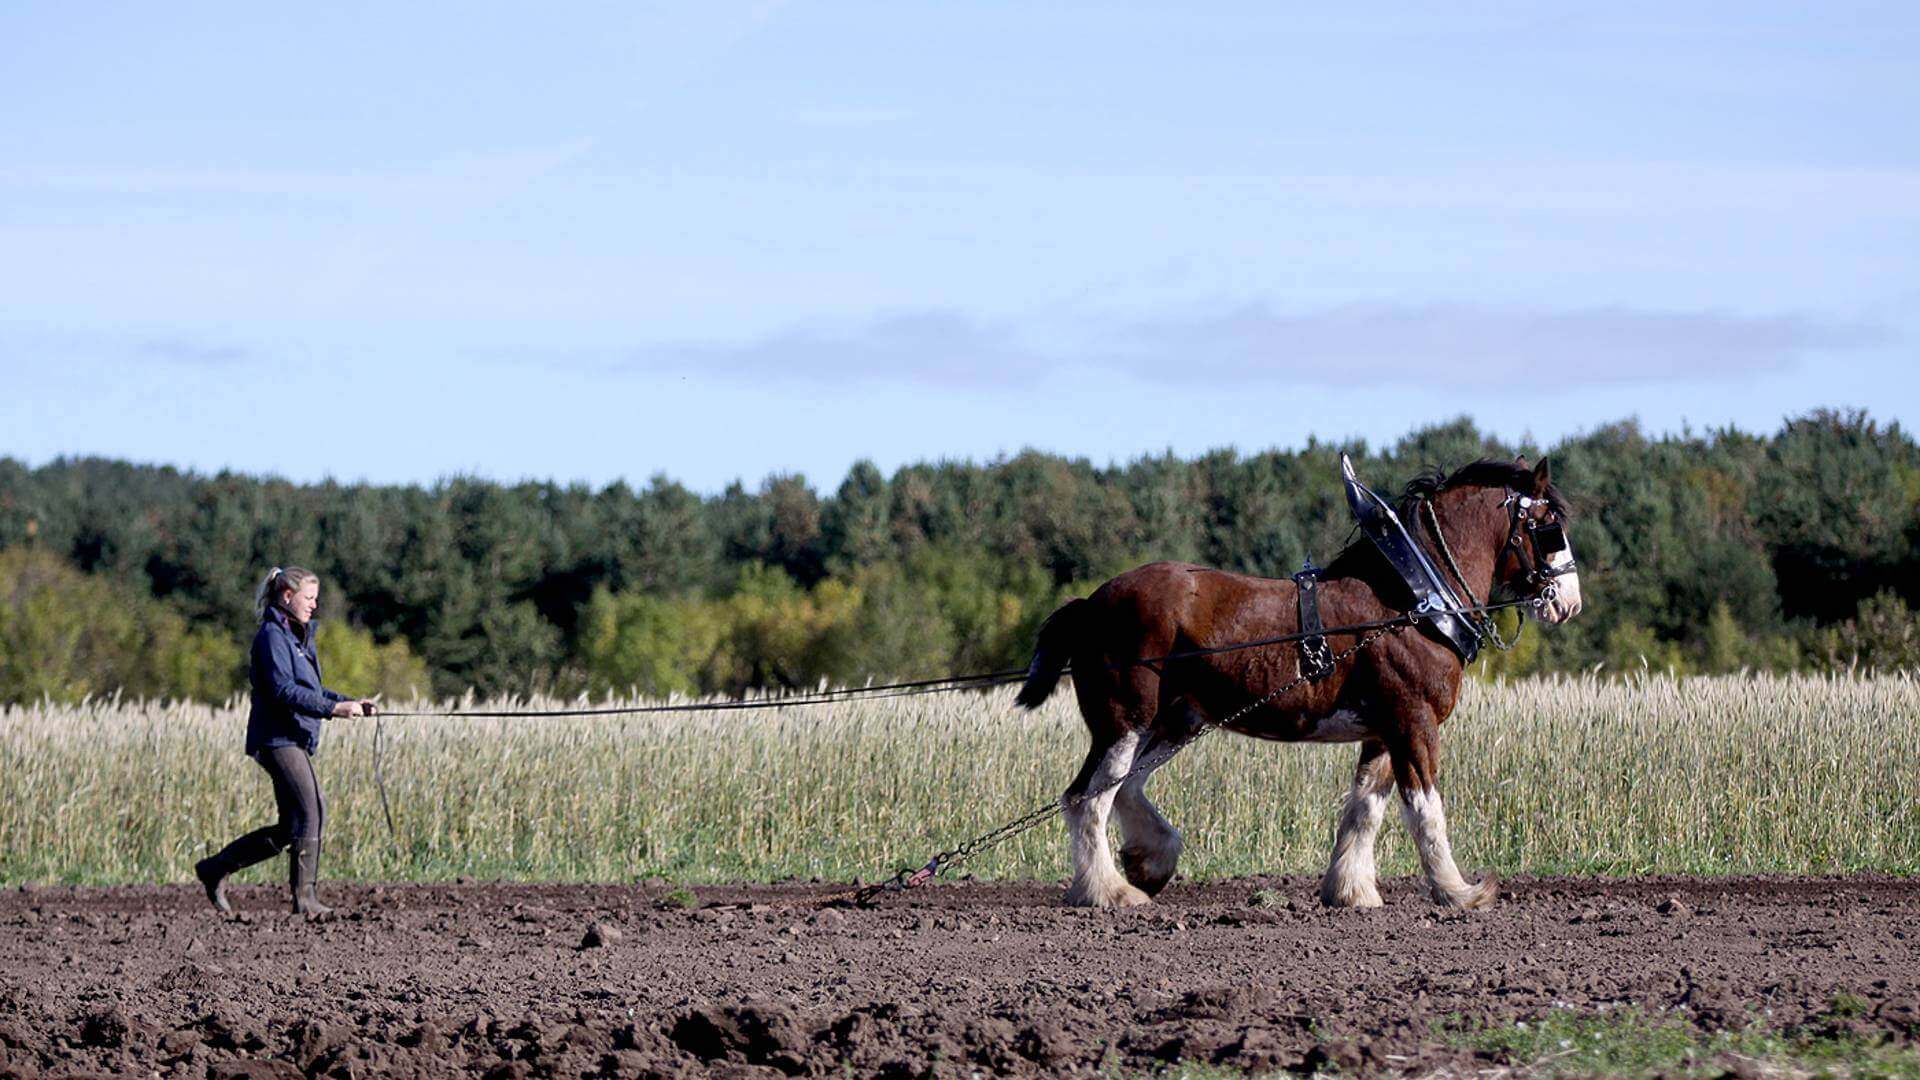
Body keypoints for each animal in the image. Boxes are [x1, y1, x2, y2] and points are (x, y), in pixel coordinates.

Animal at [1013, 455, 1582, 907]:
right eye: (1549, 525)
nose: (1569, 602)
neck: (1412, 603)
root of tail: (1090, 604)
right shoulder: (1414, 723)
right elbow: (1425, 811)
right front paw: (1458, 891)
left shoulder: (1383, 731)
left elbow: (1364, 810)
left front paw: (1351, 889)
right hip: (1125, 722)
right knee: (1089, 799)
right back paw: (1108, 891)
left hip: (1175, 721)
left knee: (1123, 788)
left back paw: (1149, 860)